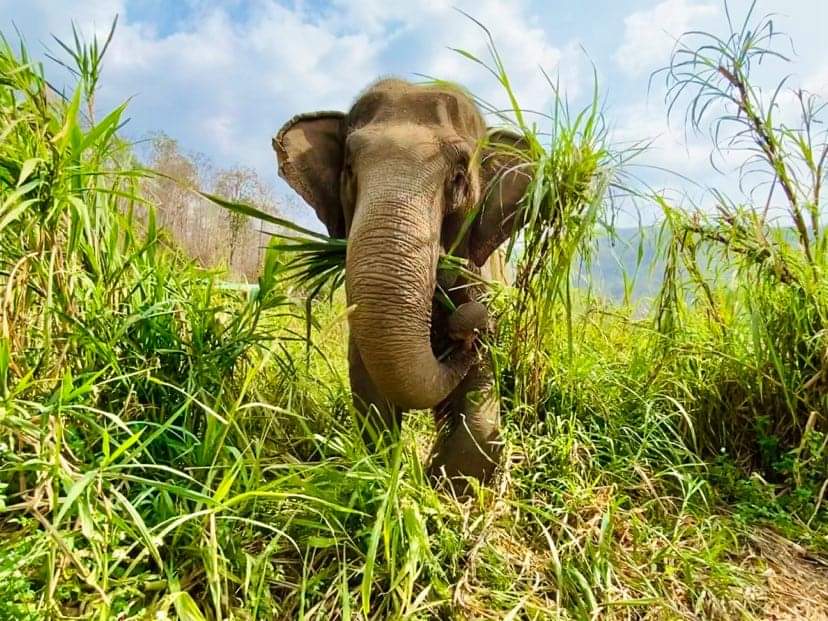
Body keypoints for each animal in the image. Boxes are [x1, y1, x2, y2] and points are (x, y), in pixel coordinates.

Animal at [272, 78, 532, 494]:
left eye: (459, 175)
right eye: (348, 168)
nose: (467, 333)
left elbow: (480, 402)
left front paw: (443, 492)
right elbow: (371, 389)